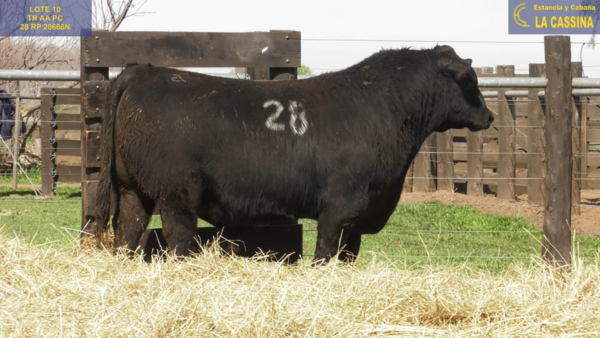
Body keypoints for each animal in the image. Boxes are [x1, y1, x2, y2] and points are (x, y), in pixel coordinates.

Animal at [97, 45, 492, 262]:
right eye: (469, 79)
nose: (488, 116)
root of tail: (142, 71)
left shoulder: (357, 220)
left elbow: (346, 257)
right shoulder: (340, 207)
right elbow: (324, 254)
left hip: (132, 190)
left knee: (127, 232)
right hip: (176, 192)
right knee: (177, 236)